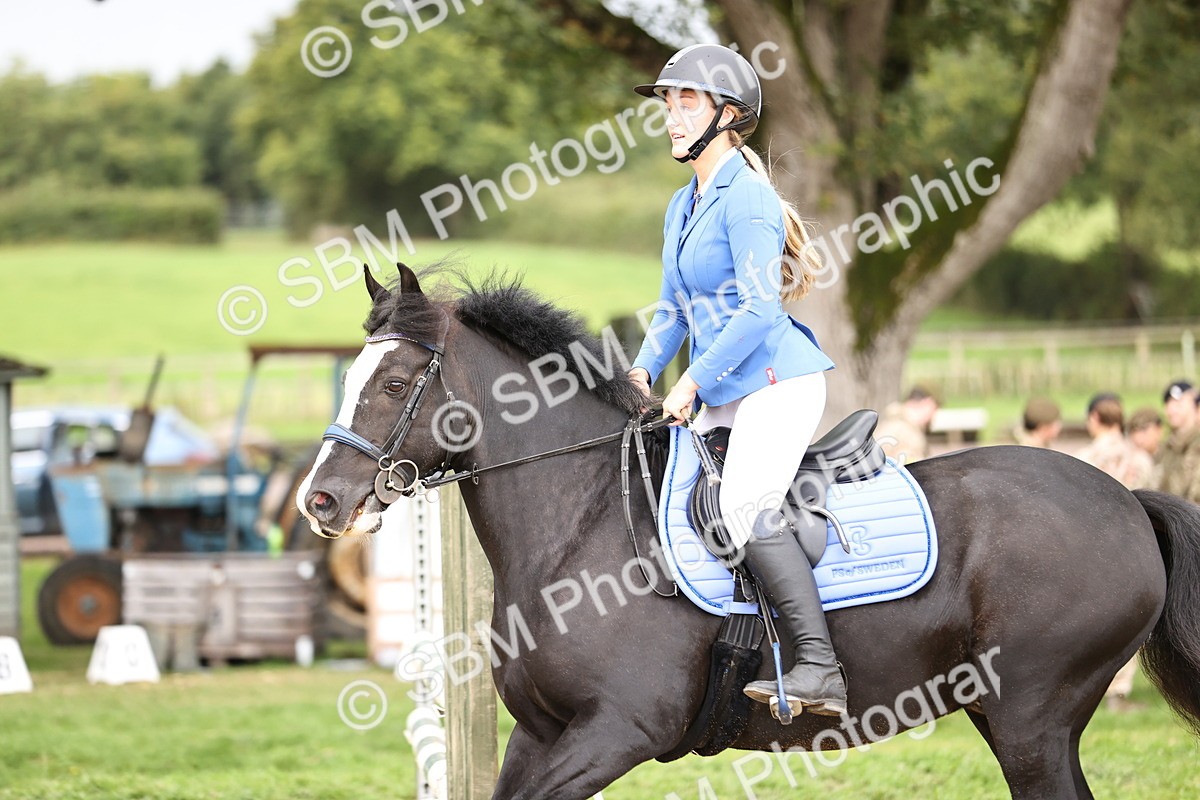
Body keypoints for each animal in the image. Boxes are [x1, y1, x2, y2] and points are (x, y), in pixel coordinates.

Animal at [297, 263, 1200, 800]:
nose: (321, 503)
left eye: (396, 383)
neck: (582, 523)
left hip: (1031, 719)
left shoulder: (616, 733)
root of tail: (1126, 498)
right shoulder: (541, 733)